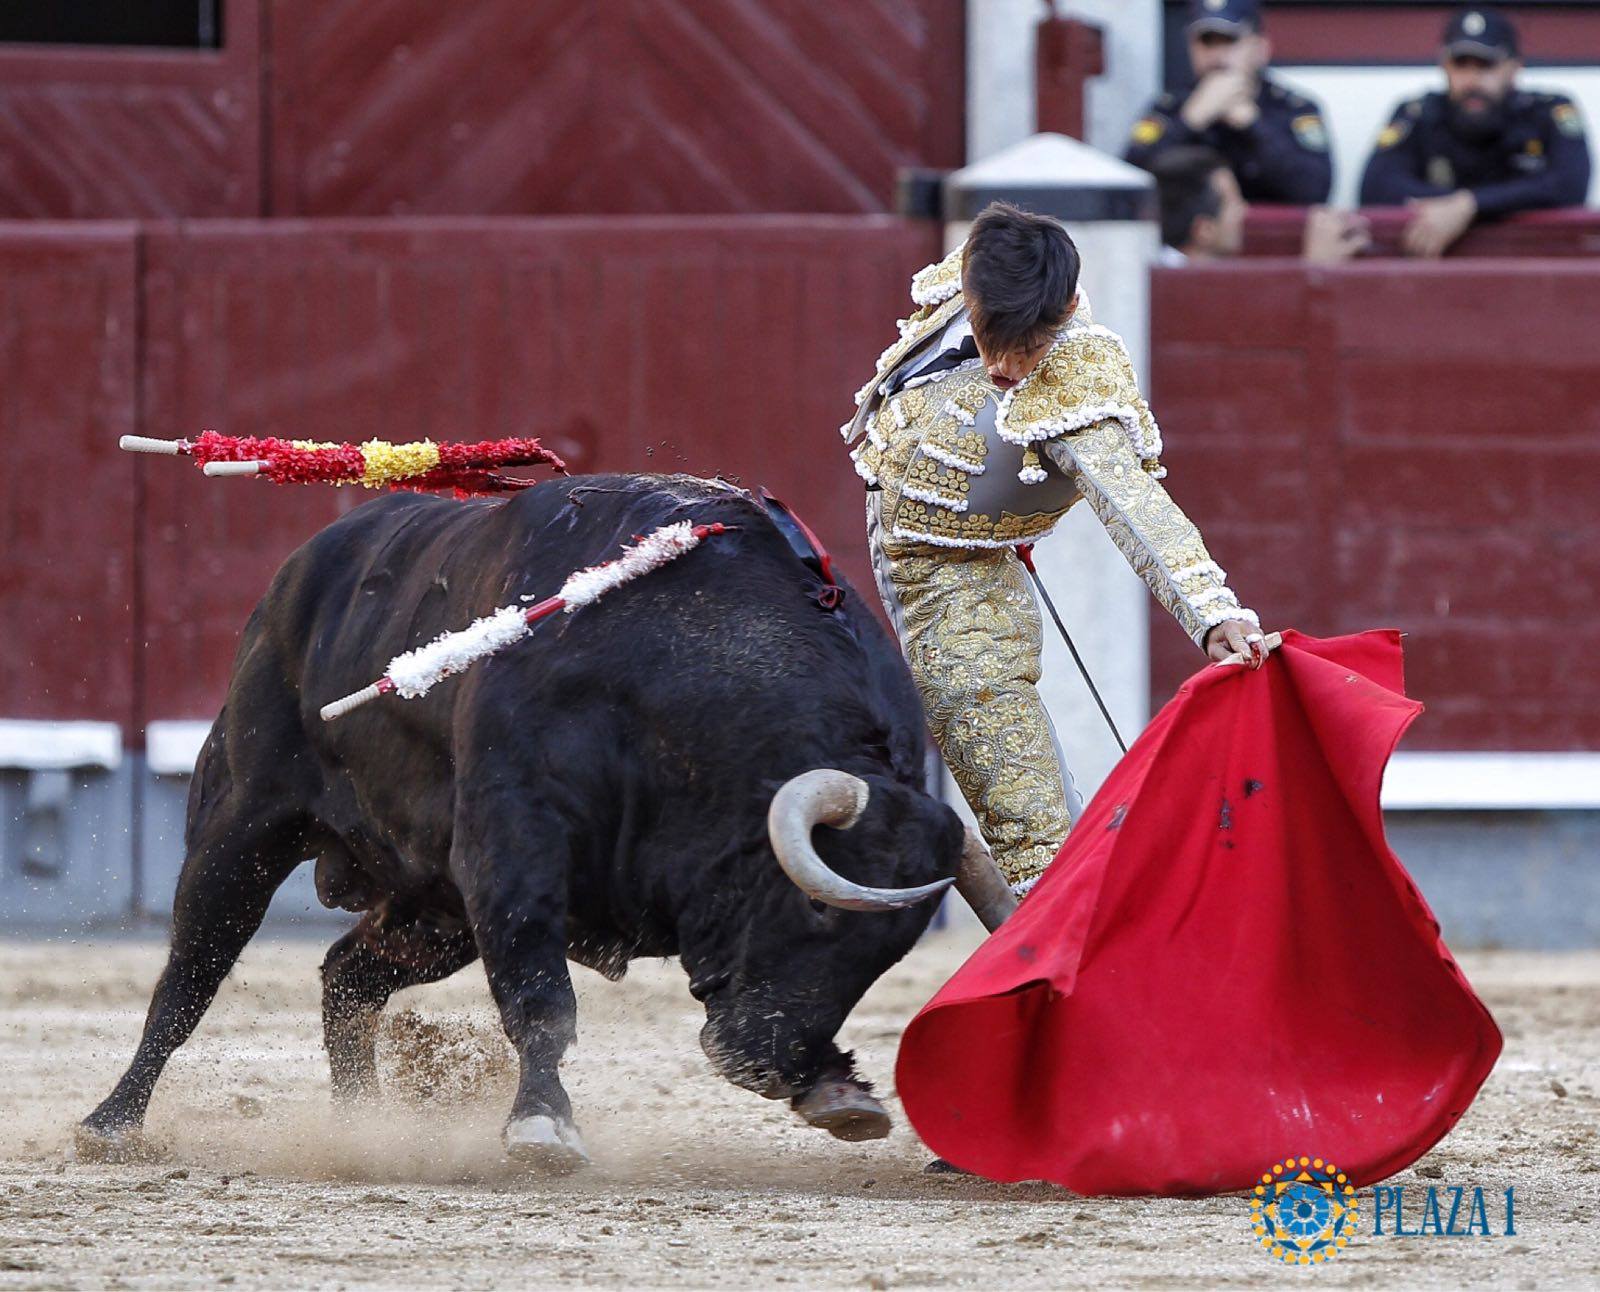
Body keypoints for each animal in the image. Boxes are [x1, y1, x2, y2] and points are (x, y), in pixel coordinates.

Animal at [78, 473, 1011, 1170]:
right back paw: (112, 1124)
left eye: (891, 952)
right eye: (816, 908)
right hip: (245, 827)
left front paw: (843, 1090)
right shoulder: (513, 845)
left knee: (347, 977)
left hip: (434, 907)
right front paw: (542, 1127)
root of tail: (303, 569)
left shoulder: (488, 881)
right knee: (190, 975)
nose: (773, 1063)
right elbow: (541, 998)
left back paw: (361, 1124)